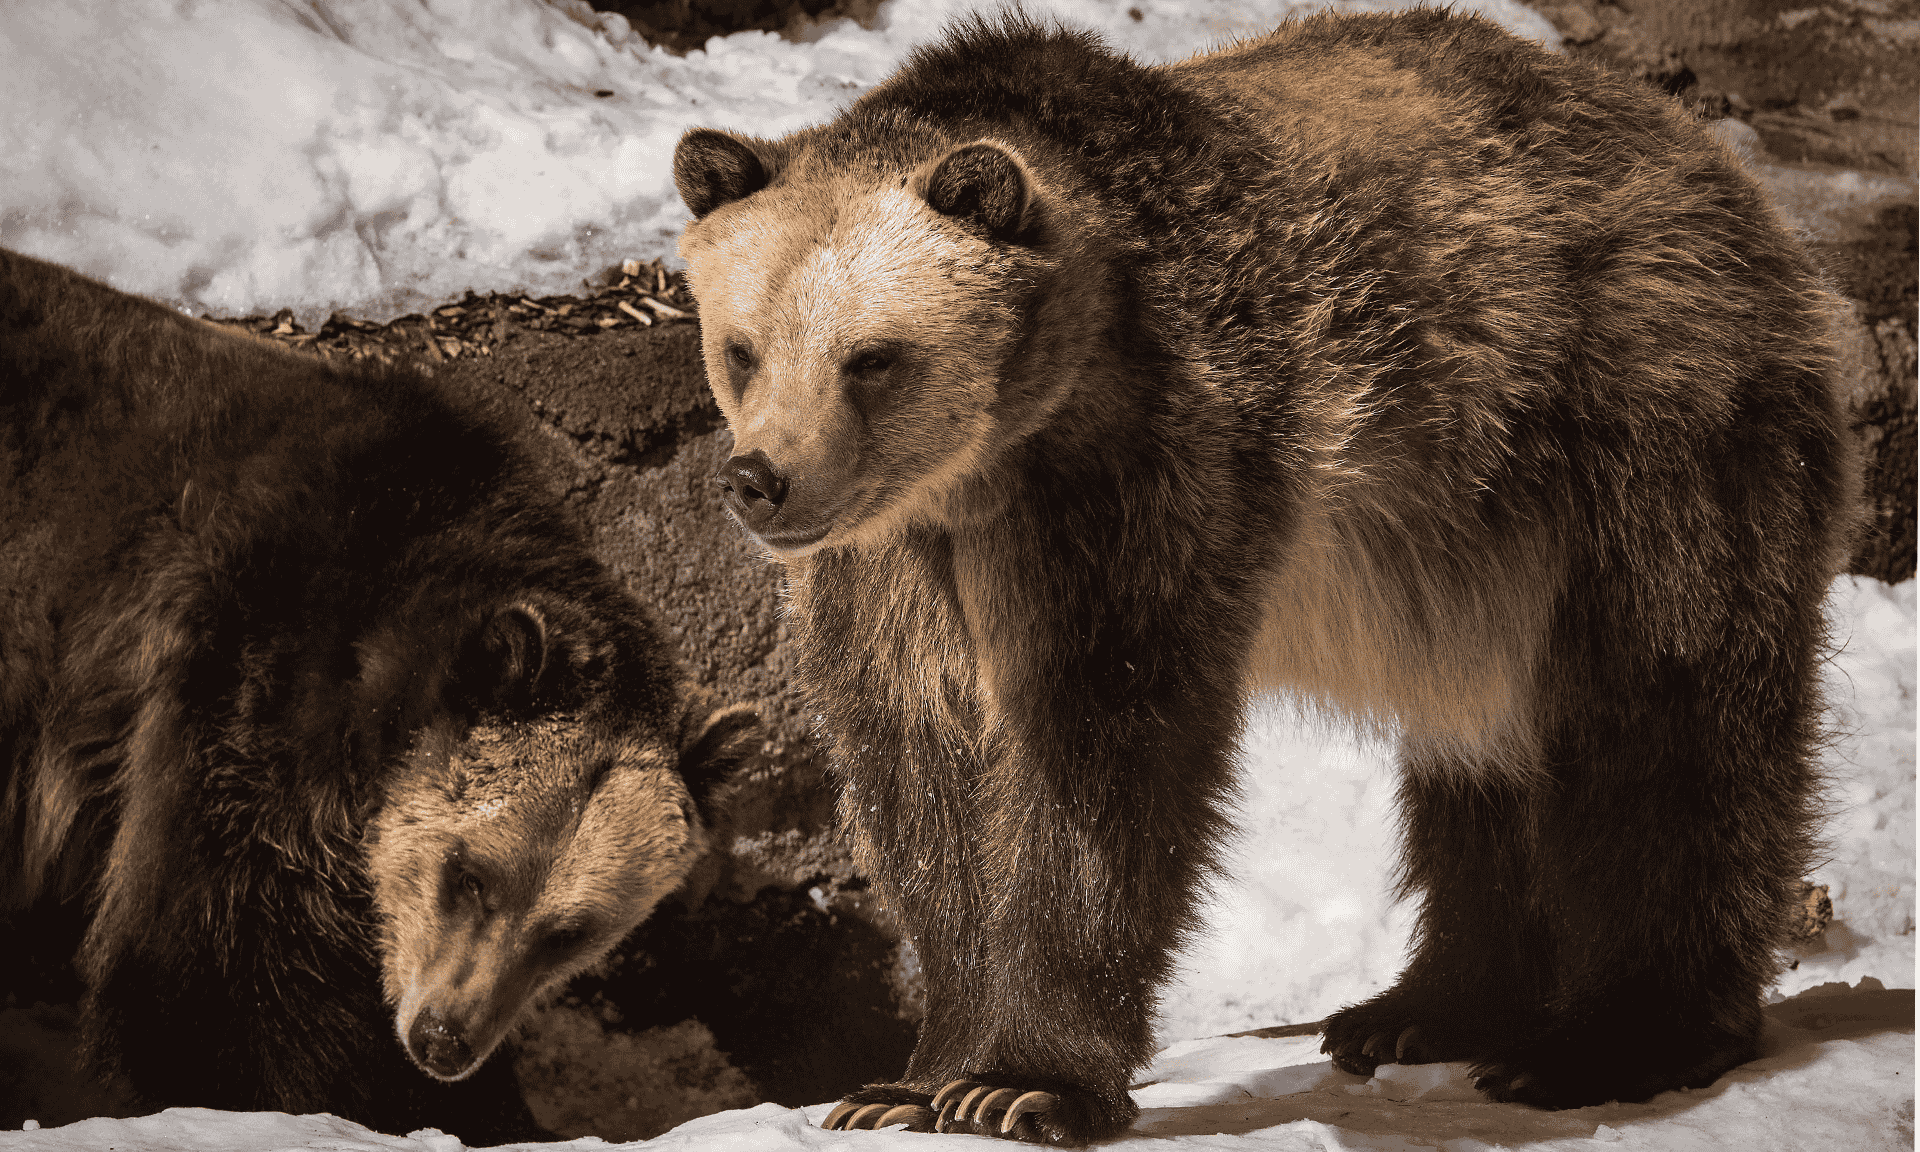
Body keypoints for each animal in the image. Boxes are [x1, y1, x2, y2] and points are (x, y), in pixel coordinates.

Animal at [675, 11, 1858, 1152]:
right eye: (743, 348)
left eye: (873, 357)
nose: (761, 480)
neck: (998, 458)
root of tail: (1709, 160)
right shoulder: (900, 556)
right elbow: (921, 763)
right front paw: (909, 1083)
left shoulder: (1150, 467)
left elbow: (1099, 754)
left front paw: (1021, 1084)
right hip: (1475, 557)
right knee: (1483, 753)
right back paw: (1426, 1008)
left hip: (1633, 438)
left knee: (1661, 720)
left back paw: (1609, 1041)